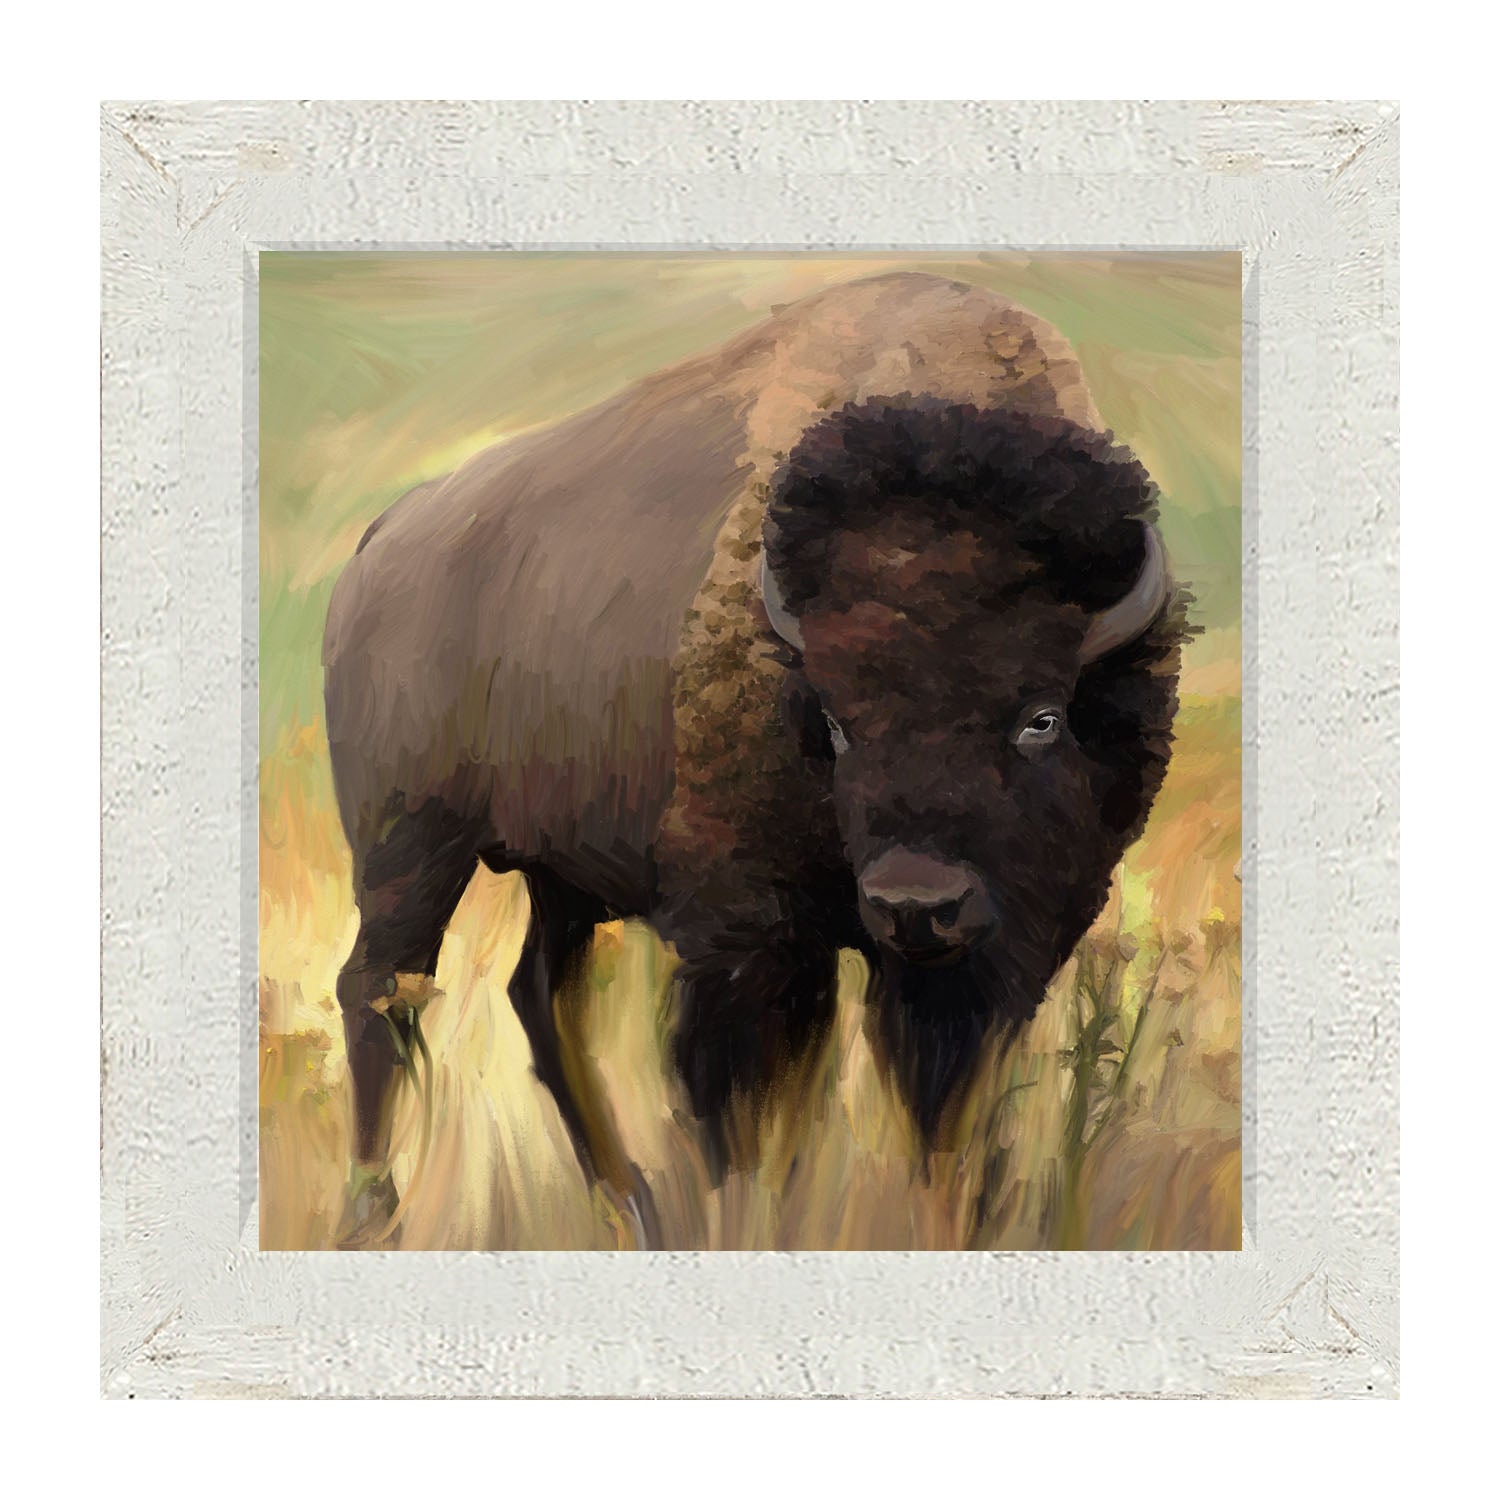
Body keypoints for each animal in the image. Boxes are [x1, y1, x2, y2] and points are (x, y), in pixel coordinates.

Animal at [322, 271, 1186, 1241]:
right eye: (838, 722)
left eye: (1041, 718)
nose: (916, 905)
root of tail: (384, 540)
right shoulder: (750, 943)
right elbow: (741, 1113)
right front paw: (746, 1217)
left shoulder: (980, 962)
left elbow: (937, 1115)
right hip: (408, 845)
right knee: (380, 992)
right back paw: (374, 1213)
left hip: (560, 874)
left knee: (538, 995)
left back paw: (629, 1205)